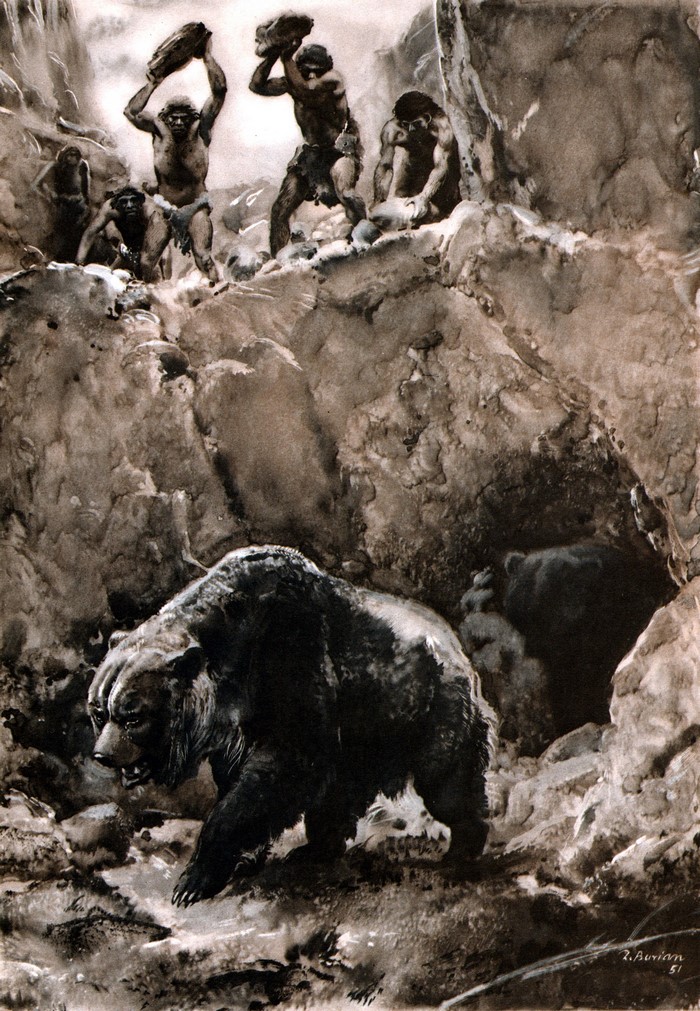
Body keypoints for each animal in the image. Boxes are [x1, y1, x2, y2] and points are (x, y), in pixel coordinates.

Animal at [88, 545, 496, 906]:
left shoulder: (293, 661)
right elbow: (241, 780)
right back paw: (315, 849)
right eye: (98, 711)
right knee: (339, 795)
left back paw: (464, 847)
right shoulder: (235, 732)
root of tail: (456, 647)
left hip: (430, 710)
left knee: (448, 783)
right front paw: (245, 858)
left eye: (132, 716)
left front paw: (193, 881)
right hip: (362, 737)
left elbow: (278, 773)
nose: (103, 755)